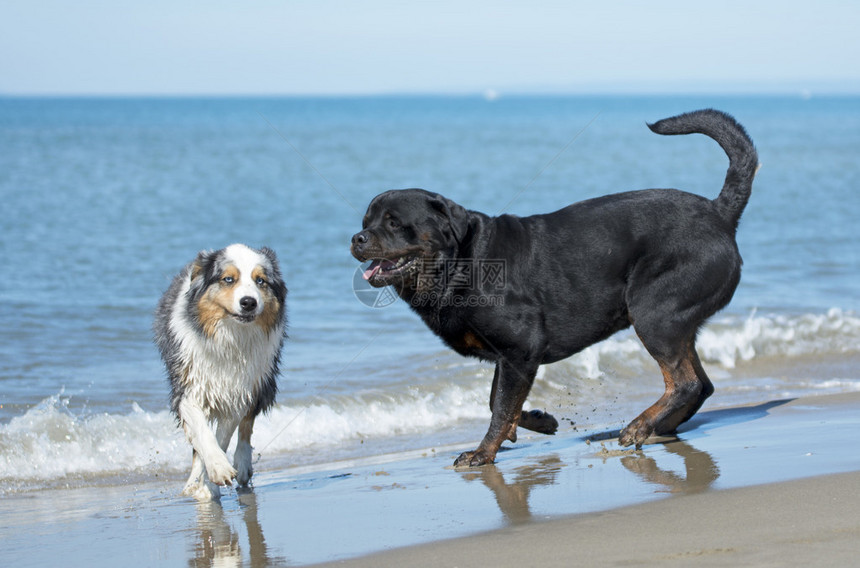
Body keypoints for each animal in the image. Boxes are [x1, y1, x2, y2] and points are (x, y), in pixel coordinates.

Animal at [352, 110, 756, 466]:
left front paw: (483, 453)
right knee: (701, 384)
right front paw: (540, 421)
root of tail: (720, 214)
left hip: (655, 314)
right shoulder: (508, 357)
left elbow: (500, 406)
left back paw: (639, 426)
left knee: (685, 383)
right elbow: (498, 400)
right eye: (366, 221)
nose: (357, 238)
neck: (460, 262)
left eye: (394, 222)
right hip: (677, 322)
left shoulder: (521, 347)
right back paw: (659, 427)